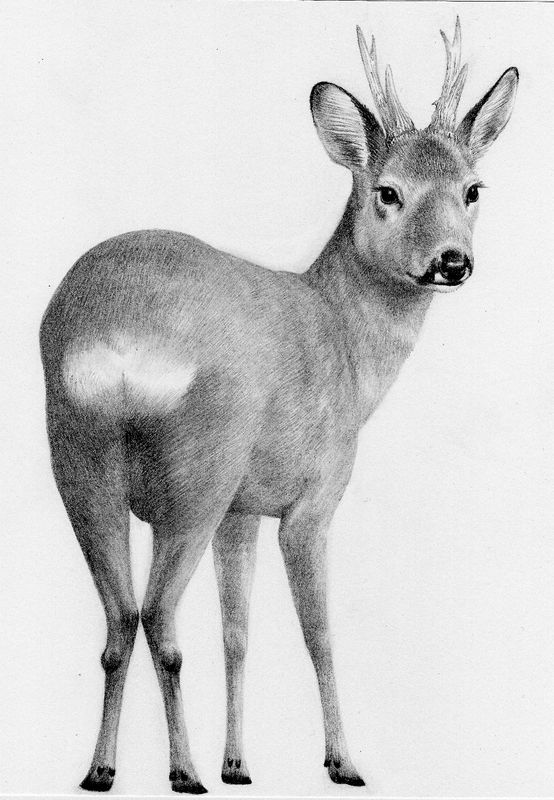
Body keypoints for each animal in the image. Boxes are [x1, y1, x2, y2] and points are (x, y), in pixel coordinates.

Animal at [40, 17, 518, 795]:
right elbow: (319, 633)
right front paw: (342, 761)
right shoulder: (311, 500)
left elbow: (237, 632)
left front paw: (240, 762)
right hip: (197, 469)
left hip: (78, 458)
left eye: (472, 188)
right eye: (388, 191)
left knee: (119, 622)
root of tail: (117, 339)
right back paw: (181, 771)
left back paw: (103, 770)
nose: (452, 261)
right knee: (158, 617)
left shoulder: (242, 512)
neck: (344, 343)